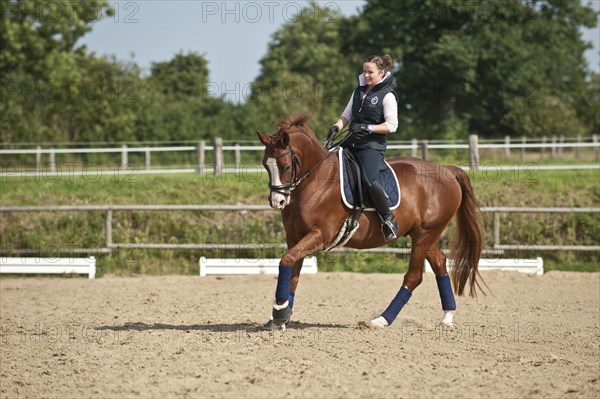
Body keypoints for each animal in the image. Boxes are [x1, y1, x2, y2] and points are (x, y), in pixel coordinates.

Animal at [256, 114, 482, 330]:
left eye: (286, 166)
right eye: (265, 165)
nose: (277, 201)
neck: (315, 182)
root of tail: (447, 170)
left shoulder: (320, 236)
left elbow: (286, 261)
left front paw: (279, 312)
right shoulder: (295, 238)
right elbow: (292, 272)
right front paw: (280, 318)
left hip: (425, 234)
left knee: (414, 277)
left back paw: (381, 320)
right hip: (422, 234)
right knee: (440, 263)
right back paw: (447, 317)